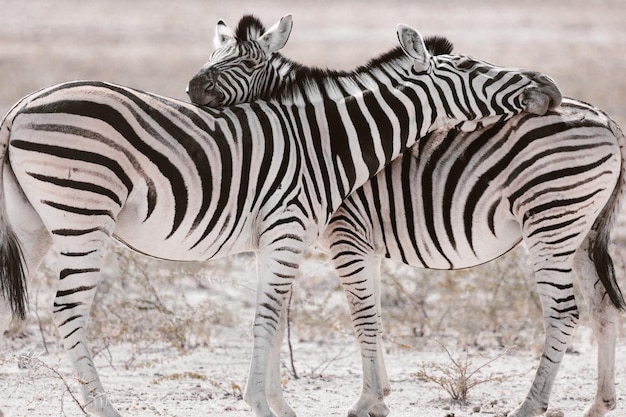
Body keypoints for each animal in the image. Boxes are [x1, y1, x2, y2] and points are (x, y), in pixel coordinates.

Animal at [188, 13, 620, 416]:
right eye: (212, 56)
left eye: (245, 63)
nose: (191, 89)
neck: (318, 141)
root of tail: (607, 119)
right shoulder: (355, 244)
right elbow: (369, 315)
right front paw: (381, 395)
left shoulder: (346, 237)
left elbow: (361, 316)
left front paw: (366, 400)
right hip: (580, 230)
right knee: (603, 306)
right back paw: (600, 403)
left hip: (551, 221)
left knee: (563, 314)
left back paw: (531, 405)